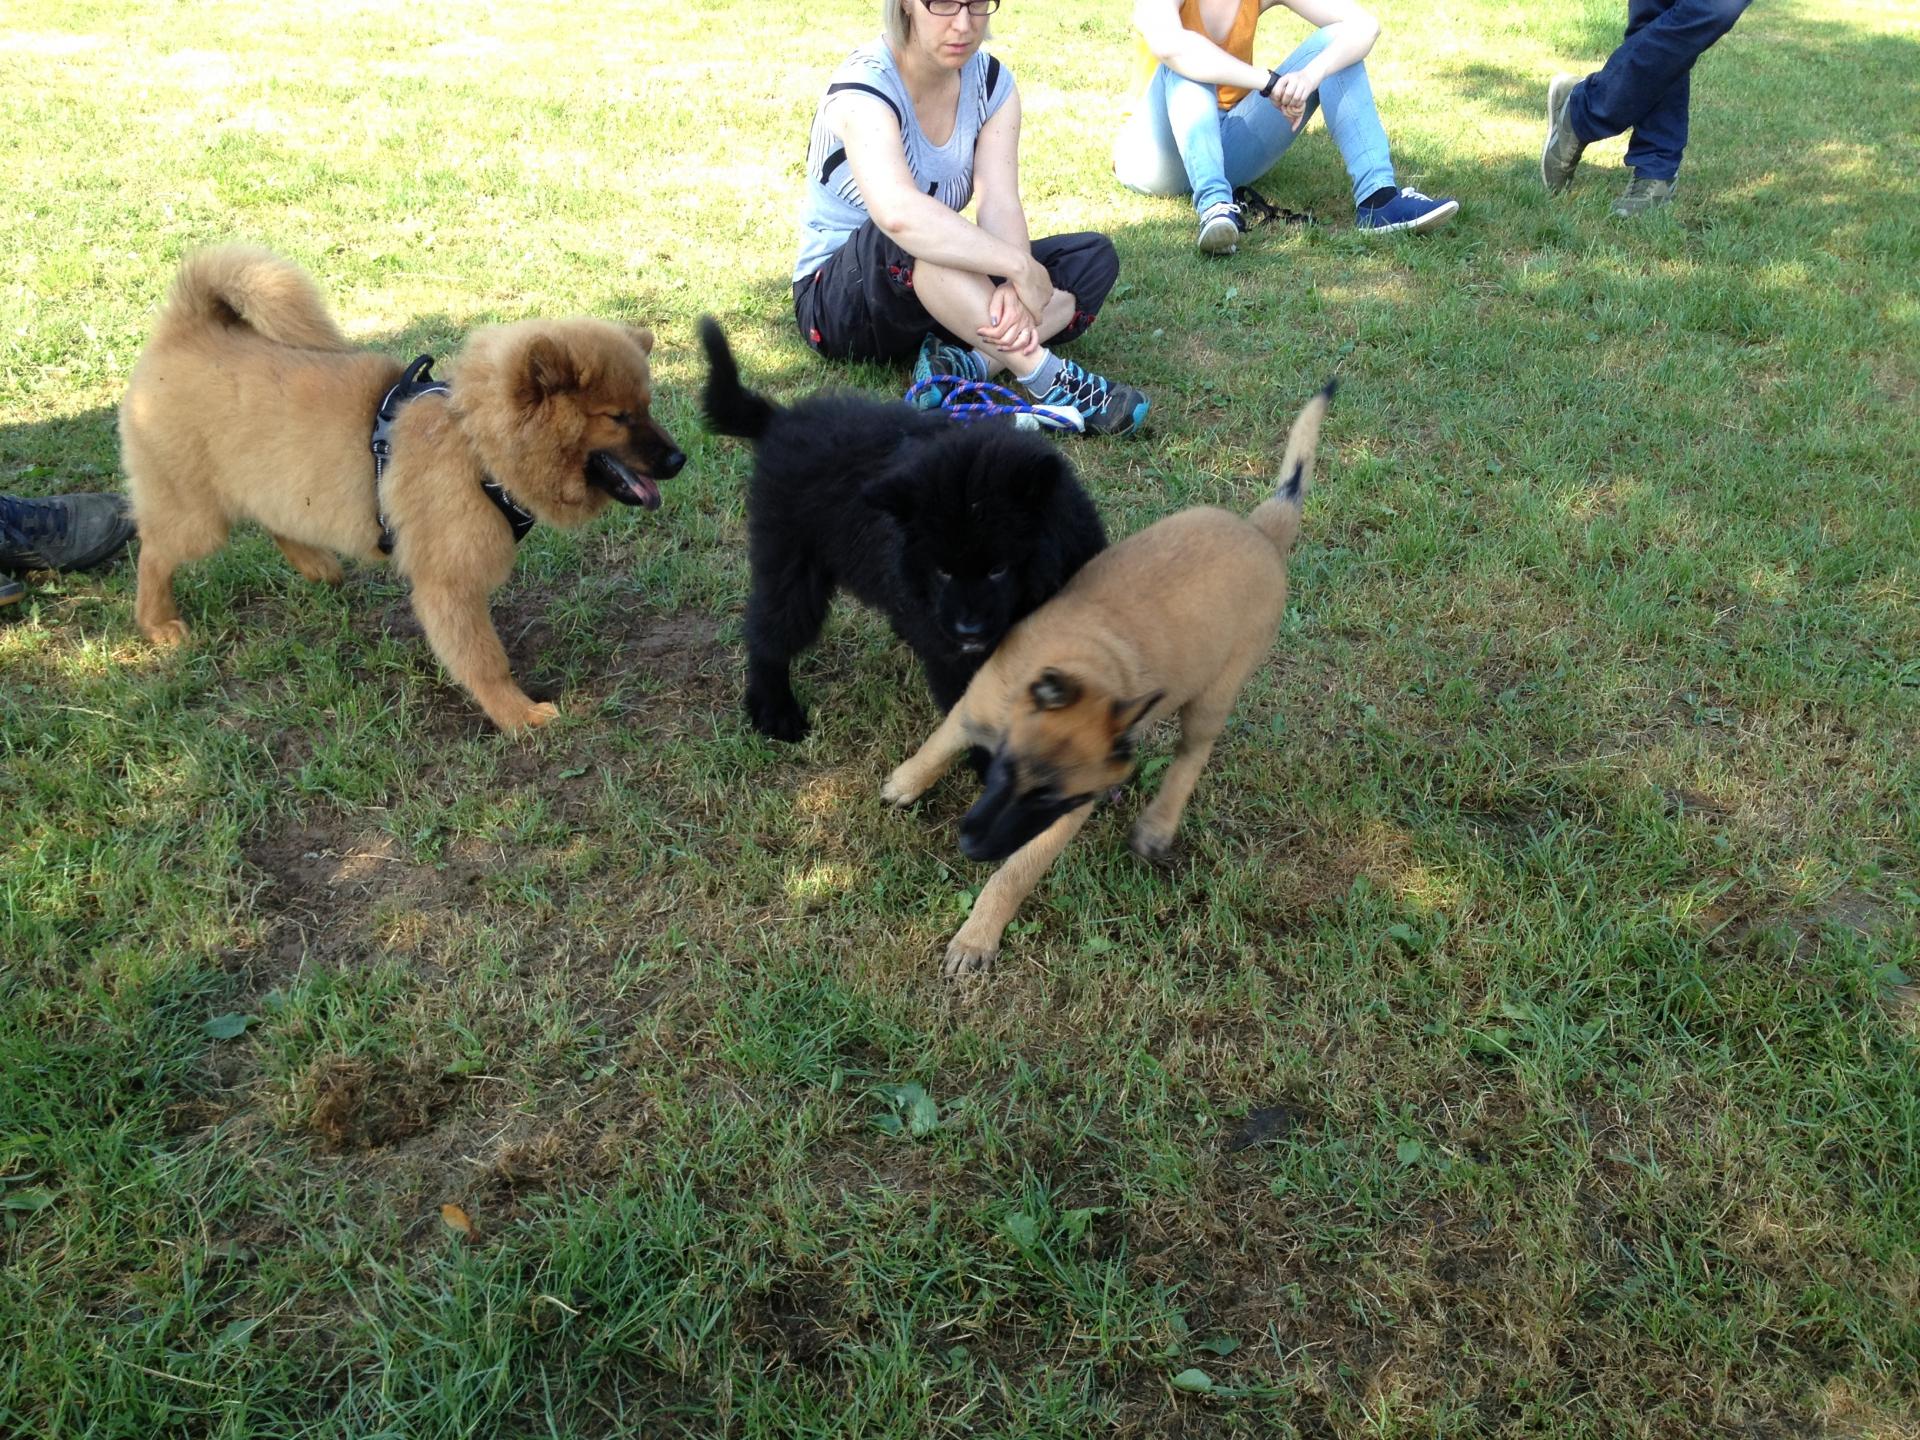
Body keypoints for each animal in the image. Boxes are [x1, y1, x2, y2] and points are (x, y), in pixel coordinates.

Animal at [114, 247, 683, 733]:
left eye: (649, 406)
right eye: (618, 417)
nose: (679, 459)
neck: (475, 444)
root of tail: (185, 328)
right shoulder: (448, 585)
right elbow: (485, 660)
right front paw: (517, 715)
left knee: (275, 524)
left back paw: (316, 567)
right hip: (196, 517)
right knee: (155, 553)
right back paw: (158, 623)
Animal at [698, 314, 1105, 744]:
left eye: (999, 568)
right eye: (942, 570)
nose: (968, 630)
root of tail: (780, 419)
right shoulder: (953, 660)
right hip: (791, 564)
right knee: (770, 634)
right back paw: (775, 712)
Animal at [883, 380, 1336, 983]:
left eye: (1048, 798)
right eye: (1004, 772)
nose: (971, 845)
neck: (1085, 665)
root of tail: (1262, 531)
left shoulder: (1064, 814)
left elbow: (1016, 871)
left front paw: (978, 934)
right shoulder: (975, 706)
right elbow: (937, 745)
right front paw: (905, 781)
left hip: (1215, 693)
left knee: (1192, 755)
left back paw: (1158, 824)